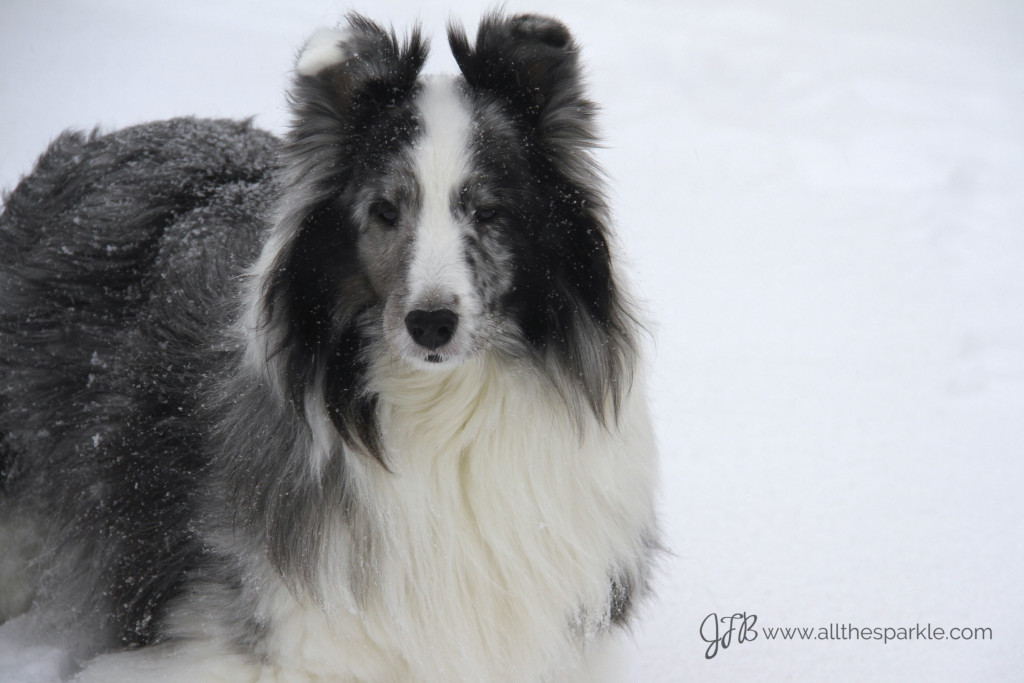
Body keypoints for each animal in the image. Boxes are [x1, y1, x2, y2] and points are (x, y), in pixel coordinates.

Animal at [0, 12, 655, 683]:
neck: (446, 412)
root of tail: (94, 143)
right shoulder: (216, 648)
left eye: (489, 211)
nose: (430, 325)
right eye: (385, 209)